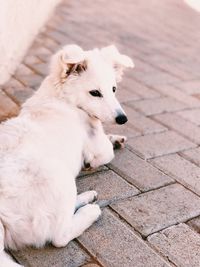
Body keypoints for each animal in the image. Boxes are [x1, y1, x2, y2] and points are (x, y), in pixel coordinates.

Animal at [0, 45, 134, 266]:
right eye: (95, 93)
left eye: (114, 89)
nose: (123, 119)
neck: (62, 97)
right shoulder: (95, 142)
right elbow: (106, 152)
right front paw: (94, 158)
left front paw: (116, 138)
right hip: (59, 178)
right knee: (59, 236)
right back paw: (90, 211)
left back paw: (86, 197)